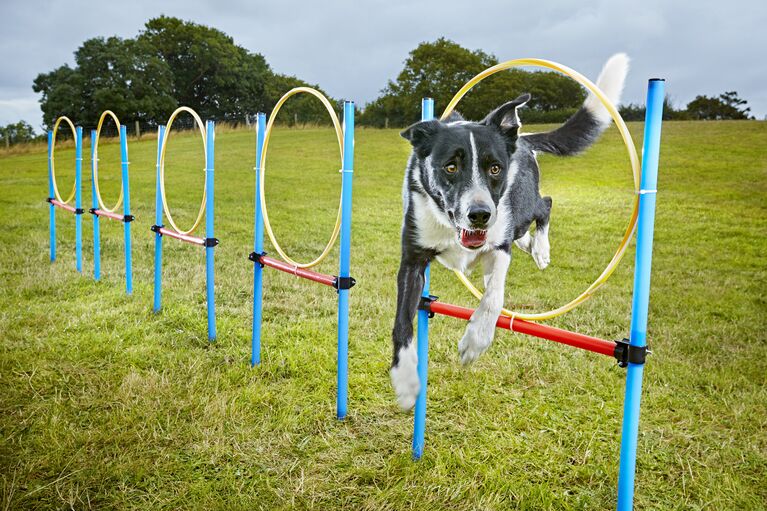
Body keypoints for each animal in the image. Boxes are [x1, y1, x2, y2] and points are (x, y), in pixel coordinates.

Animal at [390, 54, 632, 410]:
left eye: (494, 168)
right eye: (450, 166)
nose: (479, 215)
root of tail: (521, 137)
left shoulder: (498, 247)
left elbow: (493, 296)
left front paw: (475, 341)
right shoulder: (413, 258)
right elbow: (403, 321)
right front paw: (406, 380)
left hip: (521, 206)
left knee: (545, 204)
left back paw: (541, 249)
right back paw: (532, 246)